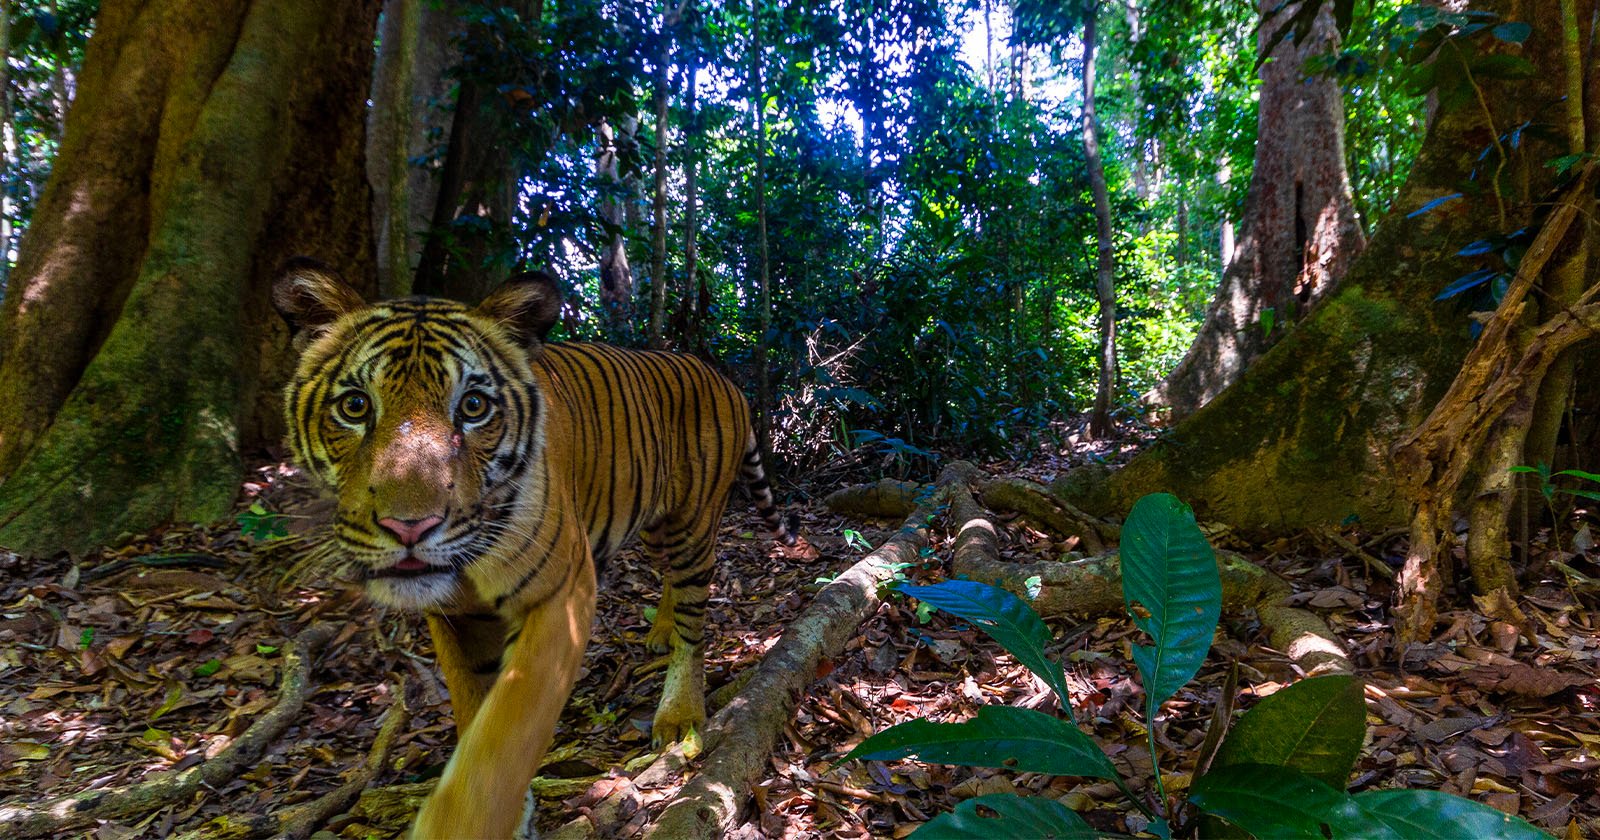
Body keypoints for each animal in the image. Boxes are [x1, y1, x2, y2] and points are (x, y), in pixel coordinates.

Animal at [278, 259, 800, 832]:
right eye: (354, 407)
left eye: (473, 407)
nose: (409, 527)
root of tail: (720, 375)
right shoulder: (453, 618)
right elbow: (473, 711)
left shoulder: (561, 595)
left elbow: (505, 732)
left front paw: (463, 822)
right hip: (655, 524)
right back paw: (659, 631)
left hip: (691, 523)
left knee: (693, 618)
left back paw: (679, 716)